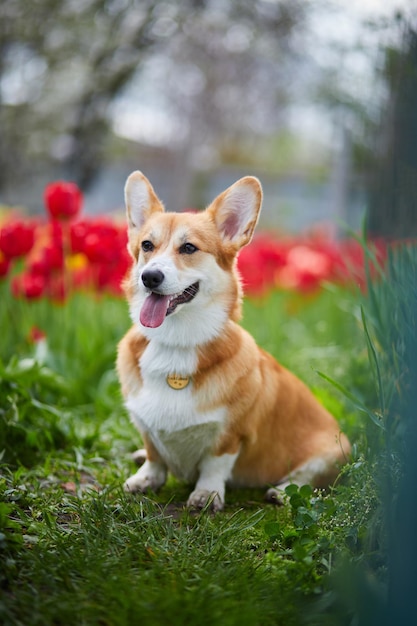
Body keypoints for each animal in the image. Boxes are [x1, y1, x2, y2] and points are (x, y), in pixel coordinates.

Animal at [115, 169, 350, 508]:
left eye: (189, 248)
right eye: (147, 245)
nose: (150, 277)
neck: (175, 343)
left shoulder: (230, 434)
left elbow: (214, 464)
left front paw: (207, 495)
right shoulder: (146, 425)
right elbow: (154, 455)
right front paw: (145, 478)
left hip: (334, 451)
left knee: (308, 479)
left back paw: (283, 491)